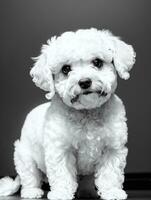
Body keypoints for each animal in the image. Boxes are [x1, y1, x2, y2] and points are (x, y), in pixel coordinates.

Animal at [0, 28, 136, 200]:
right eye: (65, 69)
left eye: (97, 62)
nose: (84, 82)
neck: (87, 112)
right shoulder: (60, 150)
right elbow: (61, 174)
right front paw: (61, 193)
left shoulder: (112, 148)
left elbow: (110, 173)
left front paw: (112, 191)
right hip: (24, 156)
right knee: (30, 176)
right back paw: (32, 191)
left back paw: (87, 192)